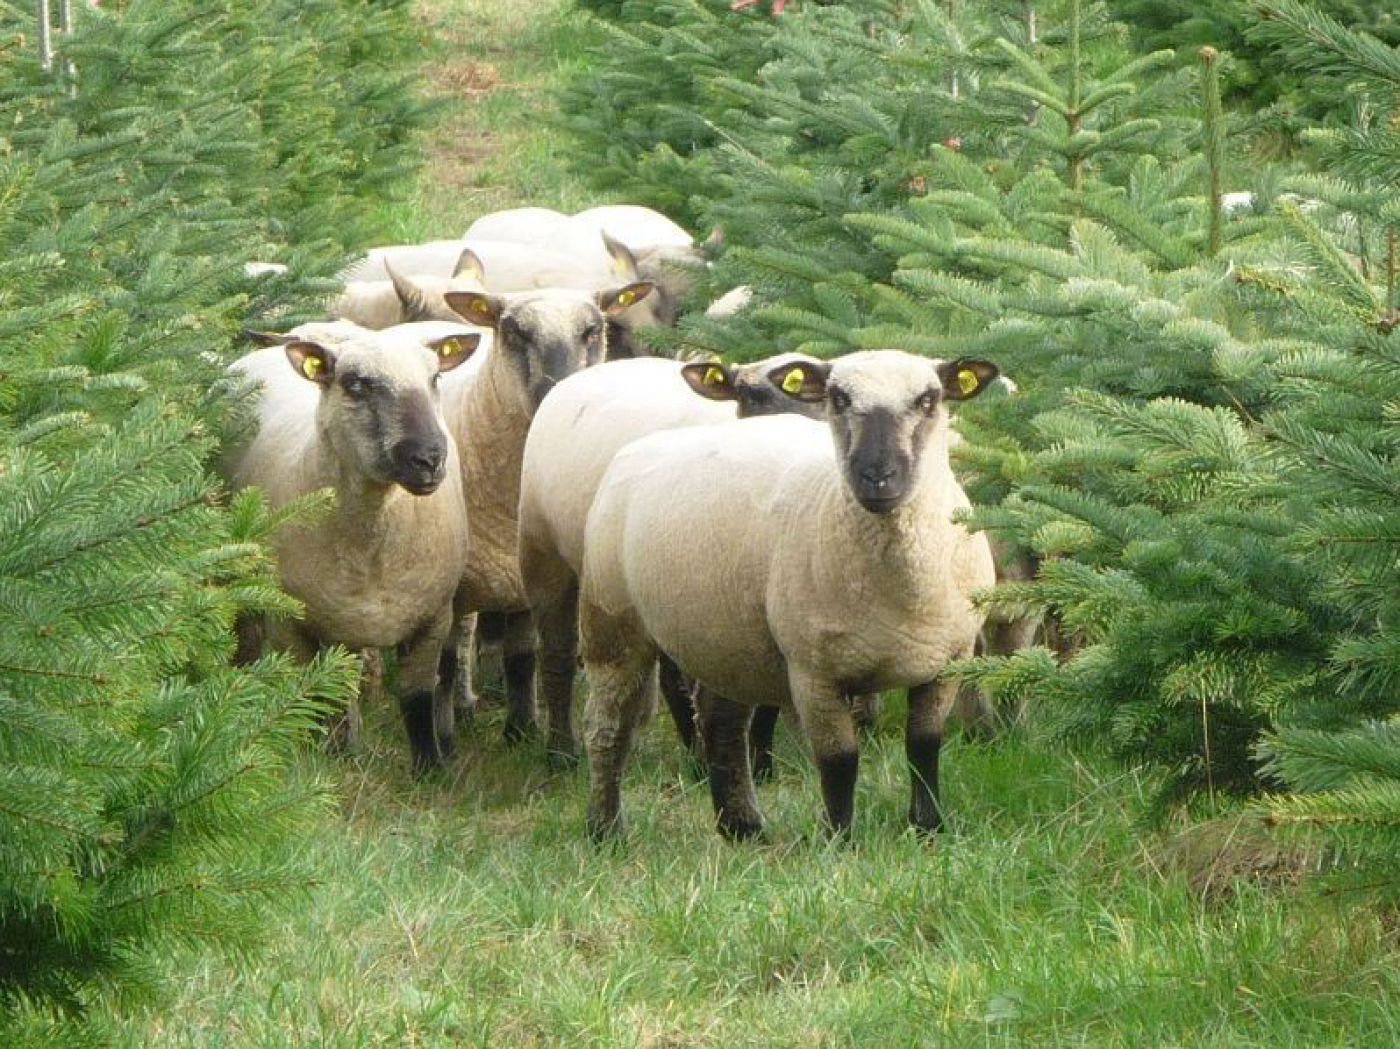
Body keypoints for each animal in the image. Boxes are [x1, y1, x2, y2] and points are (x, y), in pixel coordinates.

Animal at [225, 323, 481, 773]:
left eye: (435, 378)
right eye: (357, 384)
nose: (429, 459)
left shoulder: (433, 617)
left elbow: (417, 700)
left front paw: (430, 769)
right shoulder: (292, 626)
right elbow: (308, 698)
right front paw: (313, 760)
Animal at [436, 281, 655, 743]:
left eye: (593, 330)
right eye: (515, 331)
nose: (559, 394)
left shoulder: (521, 575)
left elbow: (522, 659)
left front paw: (521, 729)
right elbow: (443, 663)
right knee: (461, 637)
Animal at [577, 350, 1000, 840]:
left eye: (928, 399)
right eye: (838, 398)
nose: (876, 477)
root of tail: (636, 449)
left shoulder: (949, 660)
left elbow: (925, 746)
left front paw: (929, 827)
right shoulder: (814, 672)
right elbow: (839, 761)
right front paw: (840, 840)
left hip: (726, 632)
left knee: (720, 722)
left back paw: (741, 827)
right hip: (611, 622)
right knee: (608, 728)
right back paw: (605, 830)